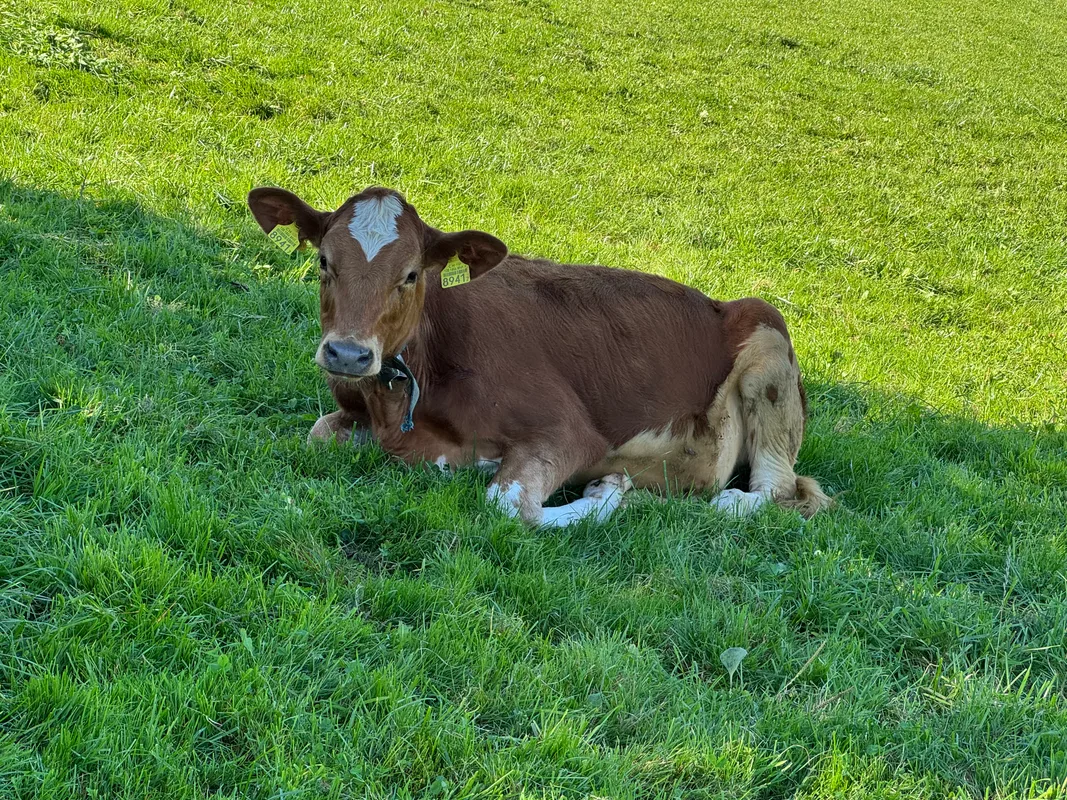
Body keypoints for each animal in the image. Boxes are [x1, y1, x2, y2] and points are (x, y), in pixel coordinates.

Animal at [248, 186, 831, 527]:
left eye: (411, 274)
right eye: (324, 260)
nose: (348, 354)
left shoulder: (568, 431)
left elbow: (509, 504)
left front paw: (603, 494)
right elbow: (318, 433)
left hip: (768, 342)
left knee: (776, 486)